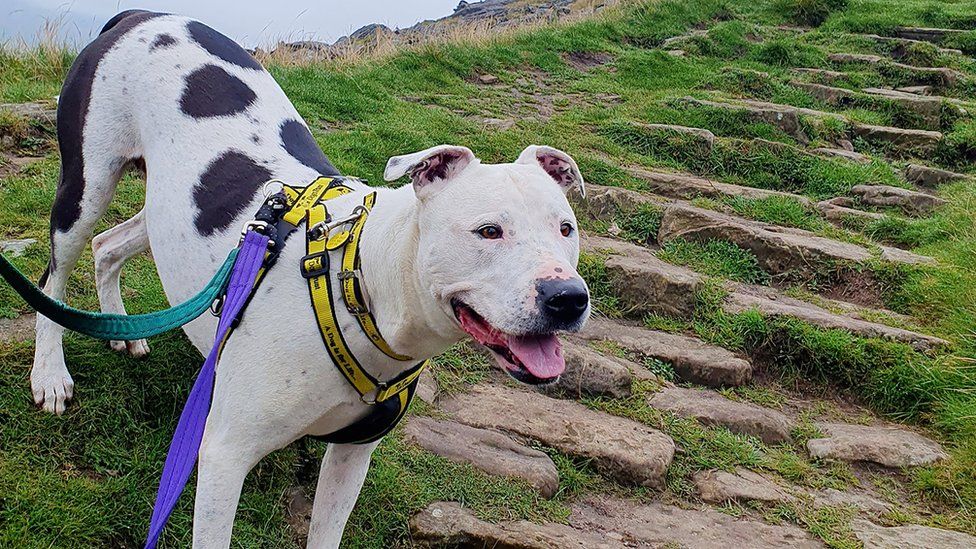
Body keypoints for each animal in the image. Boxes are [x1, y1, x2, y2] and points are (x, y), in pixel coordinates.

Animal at [30, 9, 592, 548]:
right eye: (489, 231)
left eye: (566, 228)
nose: (567, 298)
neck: (358, 291)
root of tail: (137, 16)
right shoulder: (224, 455)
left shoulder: (352, 454)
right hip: (85, 185)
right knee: (55, 274)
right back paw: (50, 374)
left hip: (163, 208)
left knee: (107, 247)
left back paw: (121, 329)